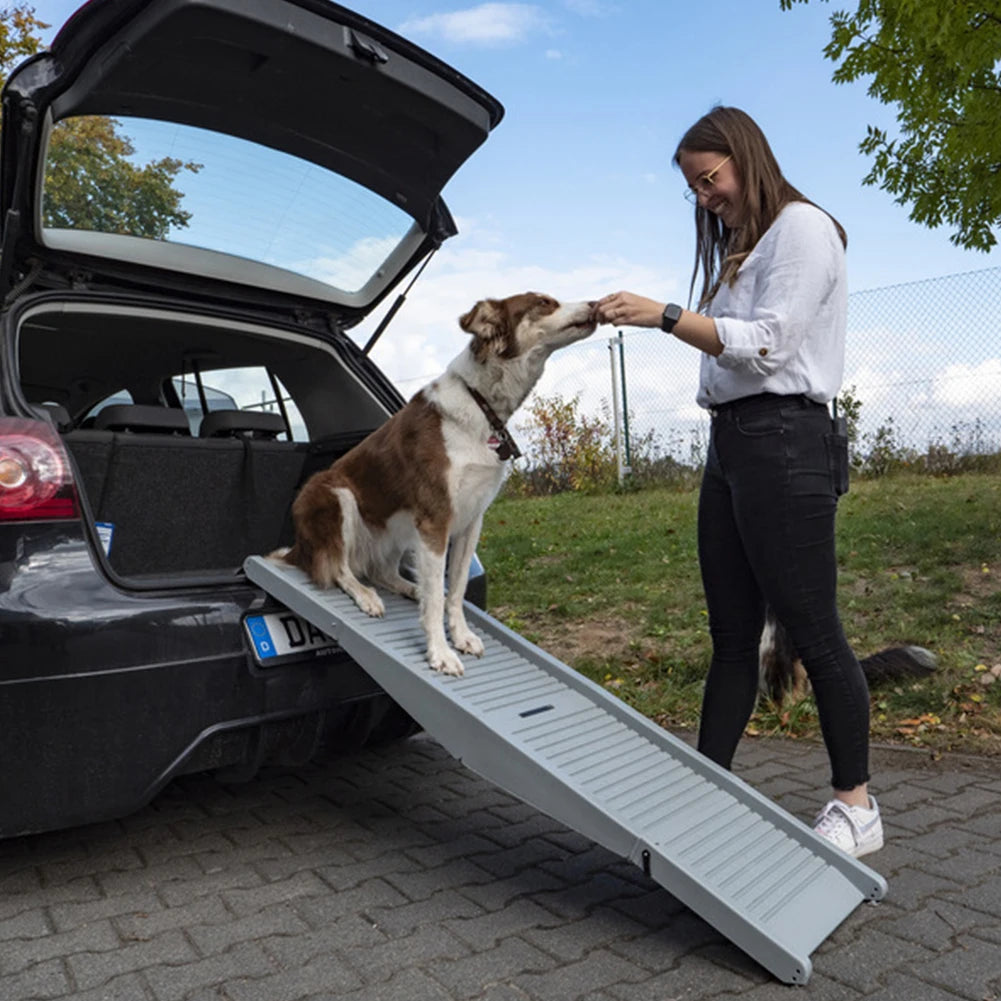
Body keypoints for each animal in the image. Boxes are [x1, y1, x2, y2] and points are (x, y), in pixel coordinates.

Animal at [276, 292, 592, 676]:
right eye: (545, 302)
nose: (595, 305)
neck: (481, 404)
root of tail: (298, 546)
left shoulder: (471, 520)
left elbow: (454, 591)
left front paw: (461, 636)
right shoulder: (435, 519)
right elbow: (434, 603)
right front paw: (440, 653)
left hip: (398, 525)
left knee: (381, 570)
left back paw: (411, 589)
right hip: (336, 495)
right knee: (337, 567)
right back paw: (367, 596)